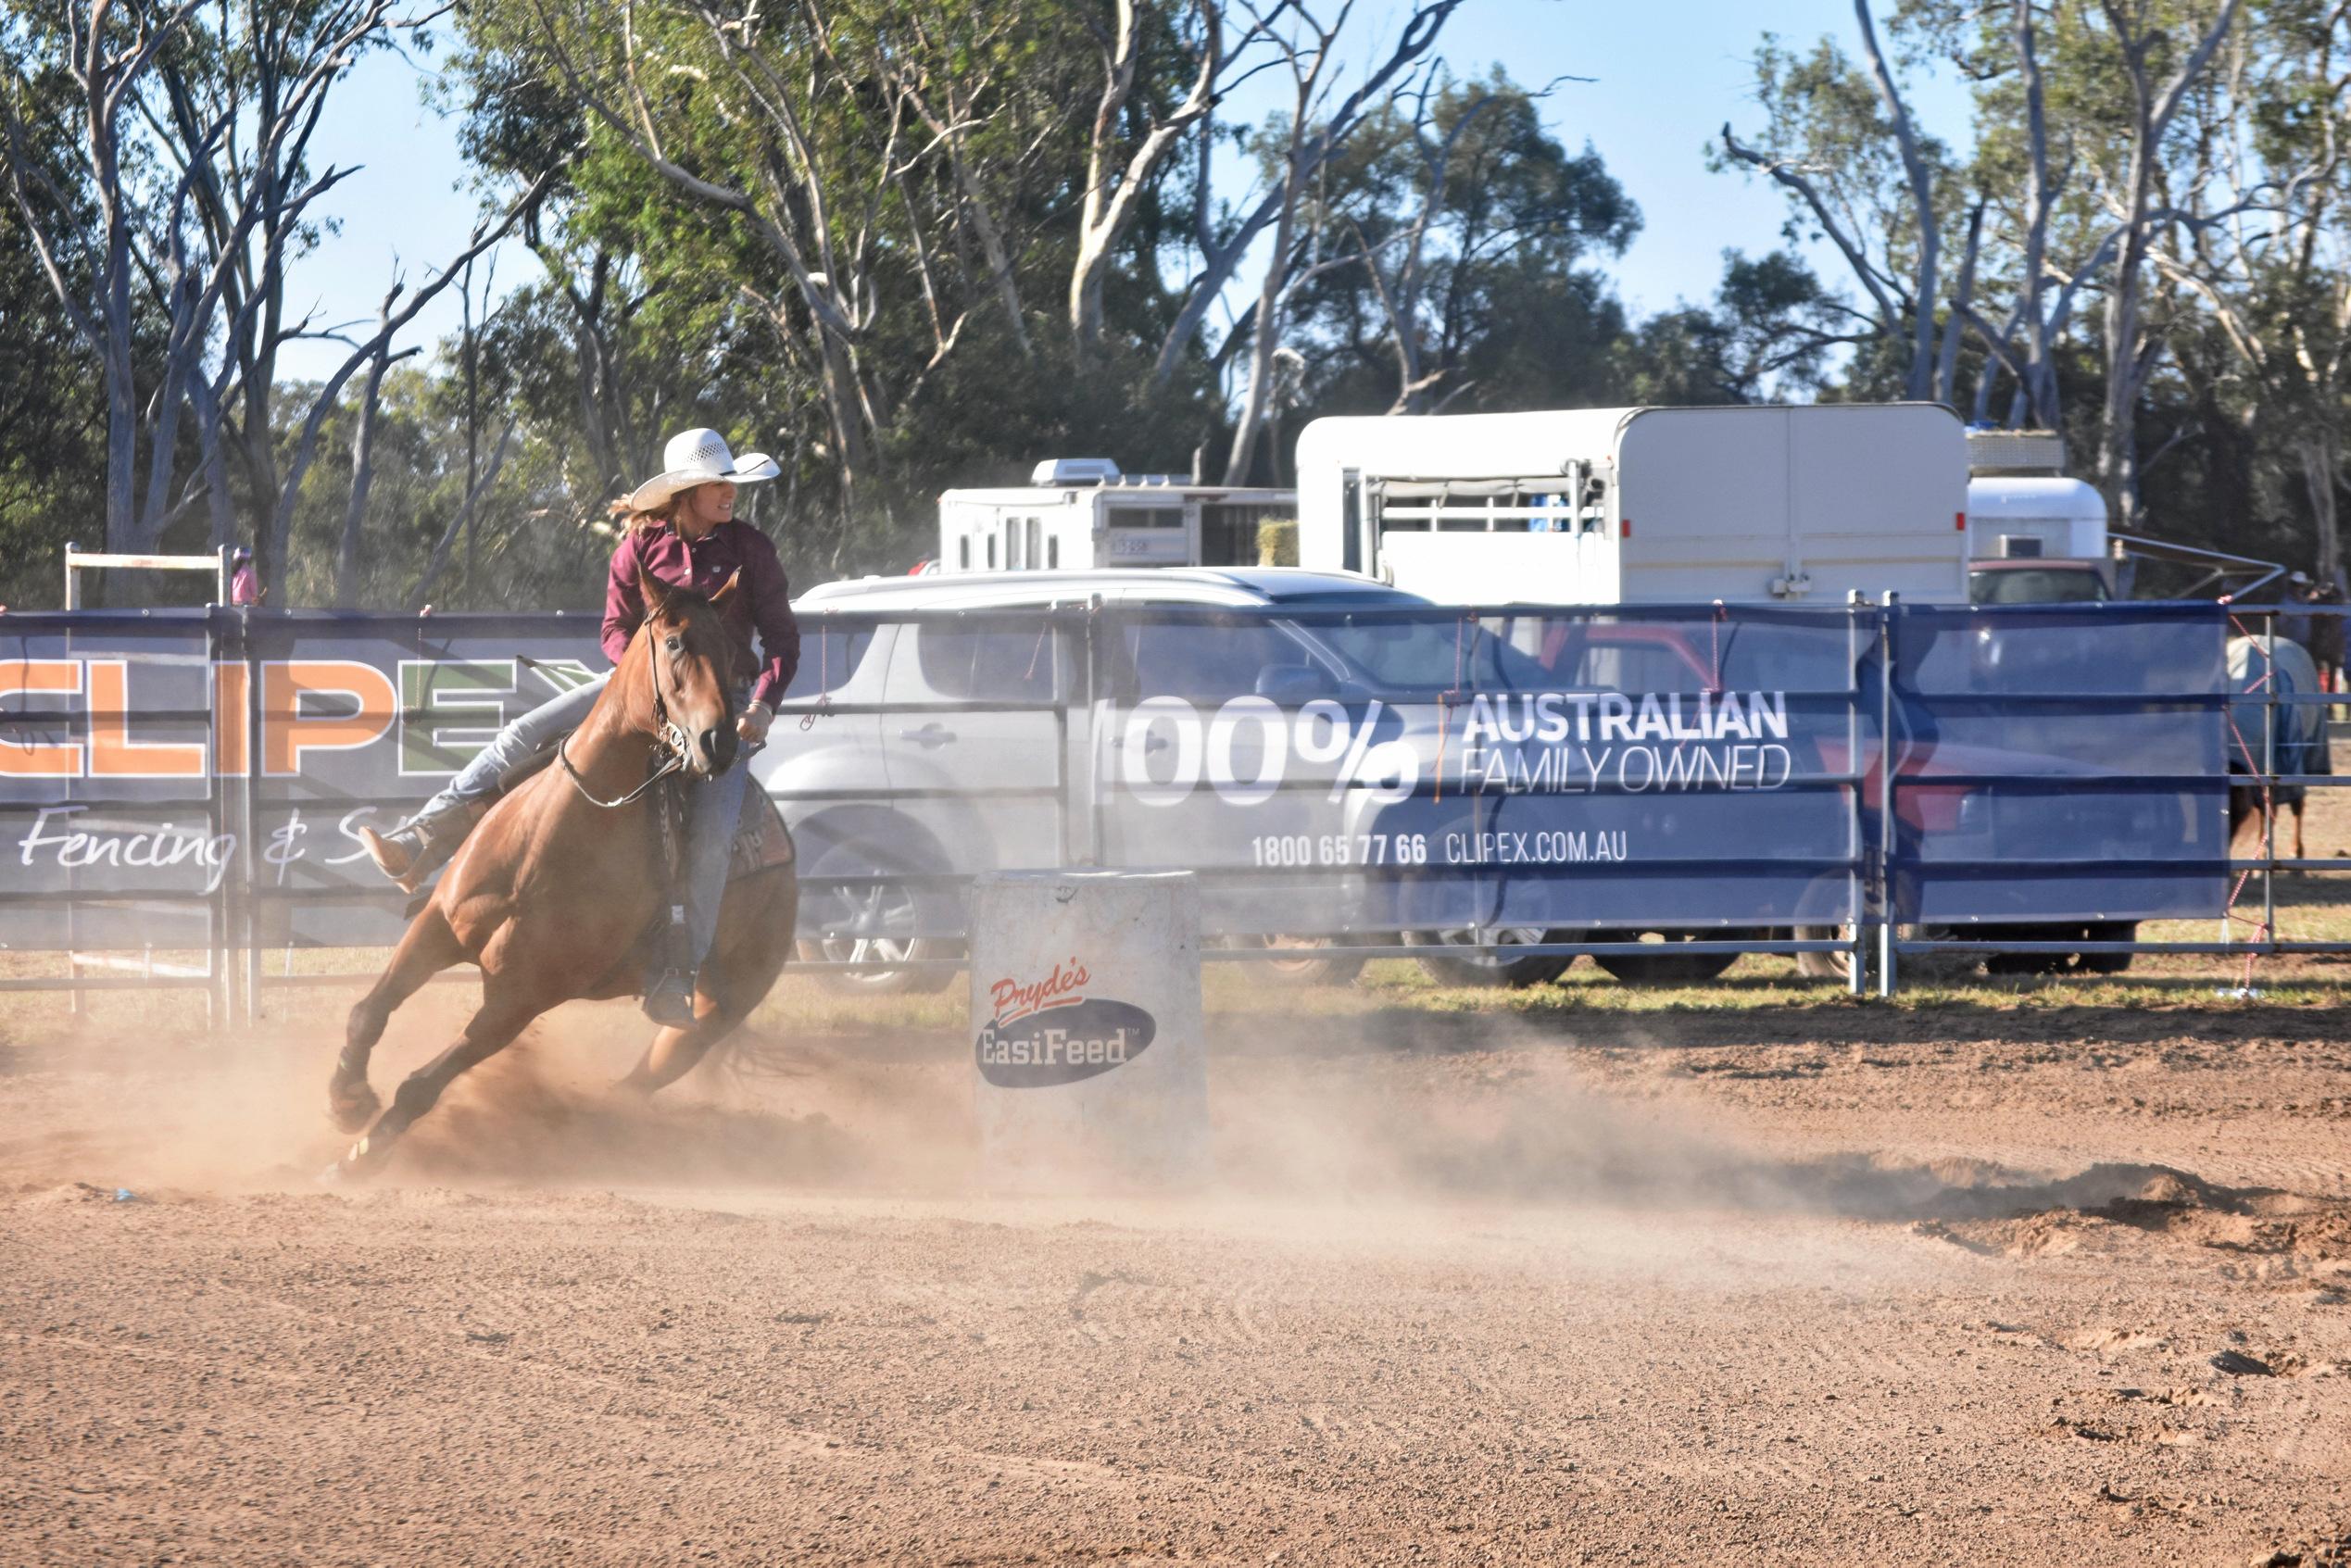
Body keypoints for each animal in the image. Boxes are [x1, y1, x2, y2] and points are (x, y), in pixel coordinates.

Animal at [321, 573, 803, 1175]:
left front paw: (361, 1155)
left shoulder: (521, 999)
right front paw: (347, 1101)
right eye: (675, 643)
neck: (545, 844)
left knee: (638, 1084)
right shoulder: (437, 927)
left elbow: (422, 1086)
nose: (720, 742)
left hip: (717, 1012)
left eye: (734, 653)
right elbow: (368, 1013)